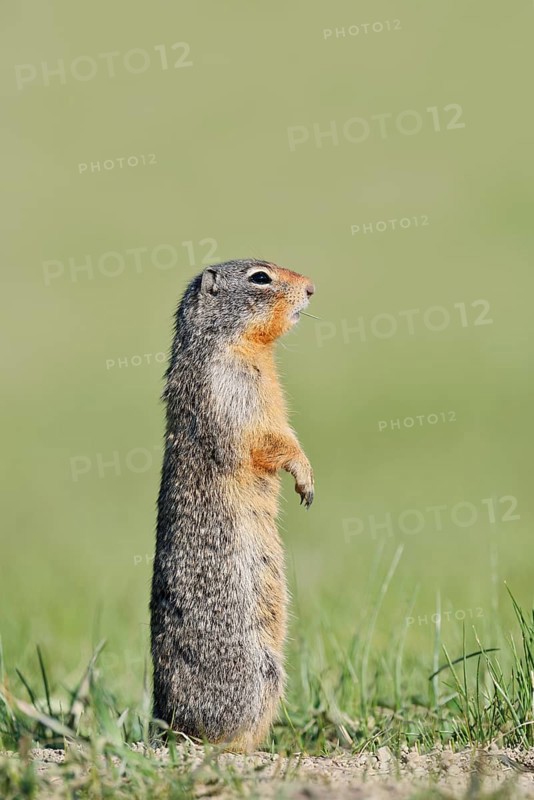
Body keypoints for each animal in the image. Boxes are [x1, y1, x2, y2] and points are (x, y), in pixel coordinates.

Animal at [150, 258, 315, 752]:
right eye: (260, 277)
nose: (312, 289)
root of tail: (165, 725)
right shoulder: (230, 390)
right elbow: (267, 440)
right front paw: (304, 476)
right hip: (256, 671)